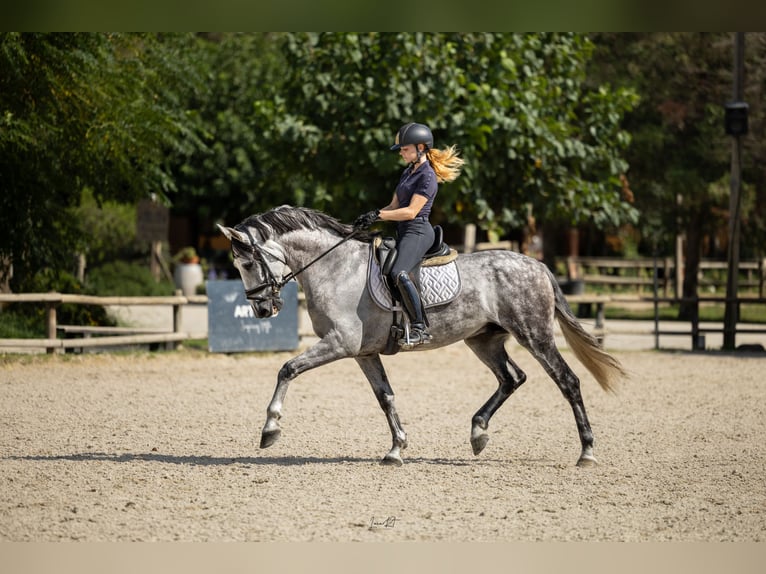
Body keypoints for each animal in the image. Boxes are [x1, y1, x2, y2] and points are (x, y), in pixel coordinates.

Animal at [219, 206, 628, 468]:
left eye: (247, 263)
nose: (261, 310)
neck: (336, 268)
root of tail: (537, 264)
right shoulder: (363, 352)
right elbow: (385, 397)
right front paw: (396, 449)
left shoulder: (339, 343)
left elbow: (287, 369)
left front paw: (270, 429)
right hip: (483, 340)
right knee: (512, 378)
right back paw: (478, 433)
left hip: (534, 335)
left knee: (567, 381)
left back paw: (587, 452)